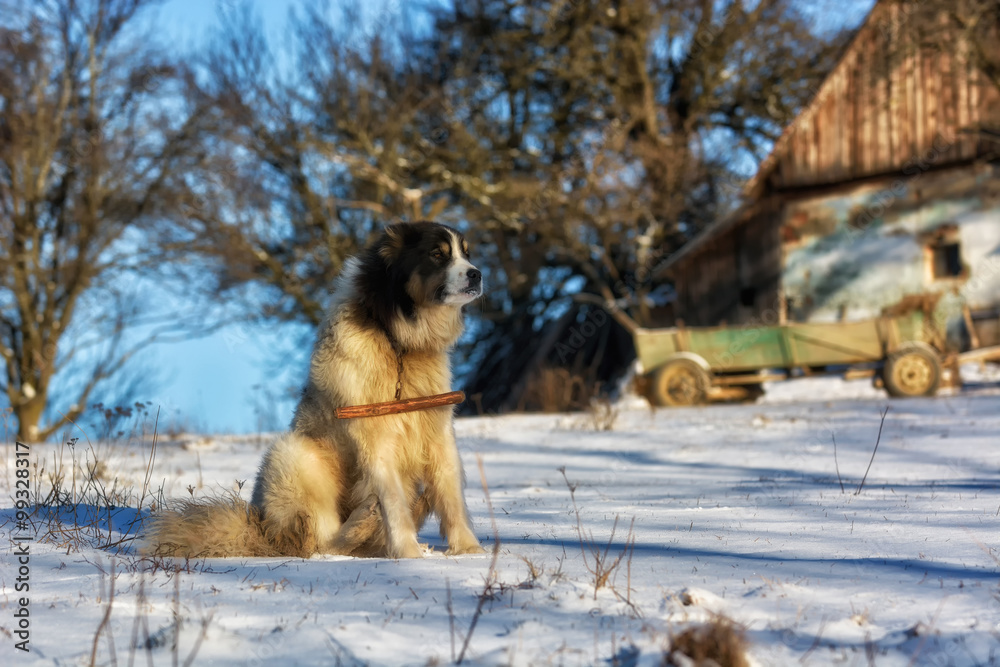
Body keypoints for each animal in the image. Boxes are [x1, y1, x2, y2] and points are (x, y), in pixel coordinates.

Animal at [146, 223, 486, 560]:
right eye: (437, 254)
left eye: (466, 254)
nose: (477, 274)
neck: (398, 341)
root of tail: (263, 531)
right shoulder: (374, 435)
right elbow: (393, 501)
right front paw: (408, 554)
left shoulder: (437, 428)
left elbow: (451, 495)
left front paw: (469, 550)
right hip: (293, 453)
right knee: (318, 544)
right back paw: (362, 522)